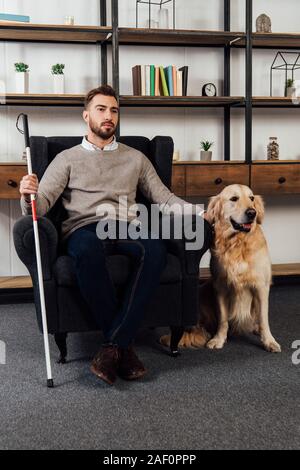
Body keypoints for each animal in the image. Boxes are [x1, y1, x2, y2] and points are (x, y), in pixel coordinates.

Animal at [162, 184, 282, 352]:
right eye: (234, 198)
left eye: (251, 198)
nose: (252, 213)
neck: (237, 243)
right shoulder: (220, 286)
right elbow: (223, 318)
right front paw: (218, 339)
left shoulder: (261, 286)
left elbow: (263, 318)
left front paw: (269, 341)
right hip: (203, 291)